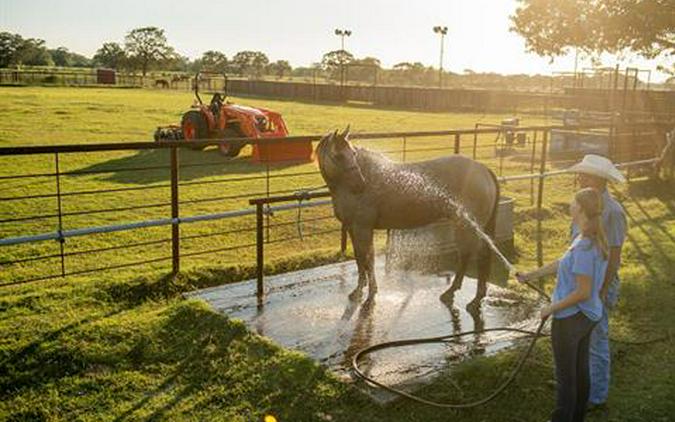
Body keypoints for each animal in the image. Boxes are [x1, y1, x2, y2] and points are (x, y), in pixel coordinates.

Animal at [316, 126, 502, 310]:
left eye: (353, 154)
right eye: (339, 156)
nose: (360, 184)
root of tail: (483, 169)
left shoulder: (363, 229)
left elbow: (368, 259)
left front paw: (370, 295)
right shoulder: (352, 228)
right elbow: (359, 259)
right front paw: (359, 290)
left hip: (466, 226)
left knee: (471, 255)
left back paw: (461, 295)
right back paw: (471, 295)